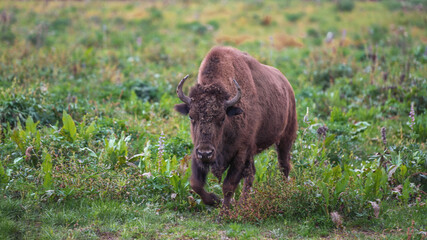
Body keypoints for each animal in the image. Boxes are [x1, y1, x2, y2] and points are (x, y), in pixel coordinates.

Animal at [175, 46, 298, 207]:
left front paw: (224, 210)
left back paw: (282, 192)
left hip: (285, 138)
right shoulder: (197, 153)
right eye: (191, 116)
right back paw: (243, 203)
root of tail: (288, 87)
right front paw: (214, 200)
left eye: (222, 118)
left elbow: (228, 185)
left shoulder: (240, 153)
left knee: (284, 166)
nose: (205, 153)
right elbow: (196, 183)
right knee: (252, 174)